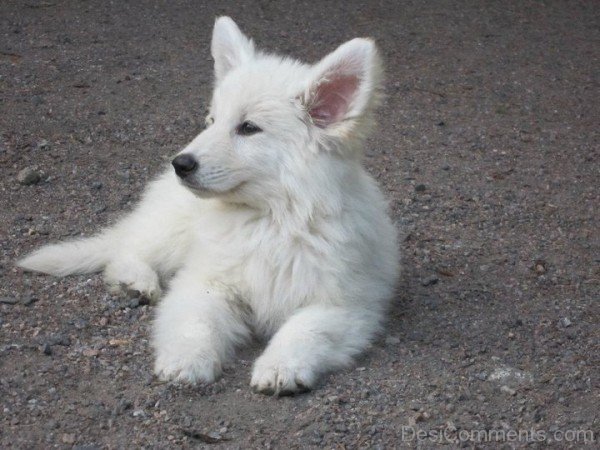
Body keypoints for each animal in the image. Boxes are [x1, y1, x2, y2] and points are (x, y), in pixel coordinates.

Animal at [18, 15, 400, 396]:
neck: (270, 218)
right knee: (127, 250)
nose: (180, 164)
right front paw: (186, 359)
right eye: (212, 120)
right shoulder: (206, 282)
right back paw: (136, 281)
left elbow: (305, 329)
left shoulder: (344, 305)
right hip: (171, 229)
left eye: (248, 128)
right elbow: (195, 321)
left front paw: (280, 366)